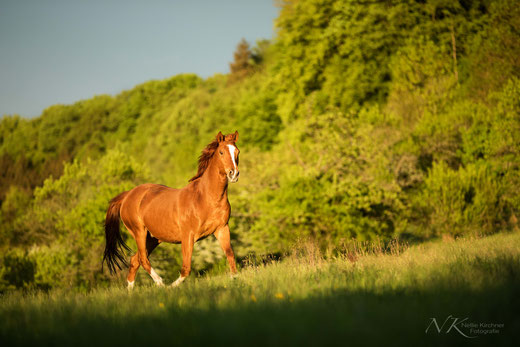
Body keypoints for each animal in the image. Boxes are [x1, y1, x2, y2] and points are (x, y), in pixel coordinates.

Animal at [102, 130, 241, 288]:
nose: (233, 174)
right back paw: (160, 283)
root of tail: (127, 196)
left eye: (237, 151)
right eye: (221, 152)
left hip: (153, 238)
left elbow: (230, 256)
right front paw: (172, 287)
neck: (206, 198)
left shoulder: (222, 229)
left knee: (134, 260)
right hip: (139, 232)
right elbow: (186, 268)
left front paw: (235, 282)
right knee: (143, 259)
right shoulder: (188, 236)